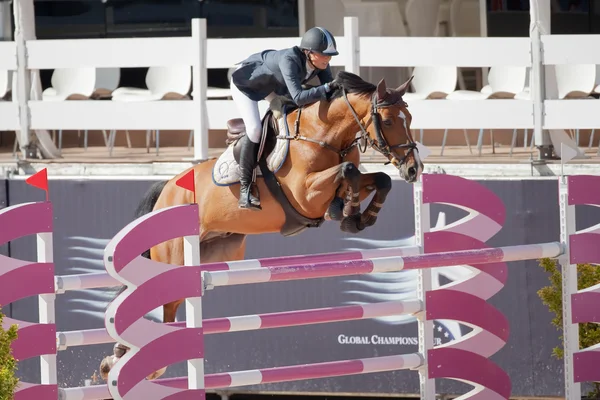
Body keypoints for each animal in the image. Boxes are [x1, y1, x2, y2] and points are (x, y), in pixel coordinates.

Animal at [99, 69, 422, 382]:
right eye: (389, 120)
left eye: (410, 118)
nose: (414, 168)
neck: (324, 135)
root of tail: (167, 186)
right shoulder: (305, 195)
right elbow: (348, 170)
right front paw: (351, 212)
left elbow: (379, 179)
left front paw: (360, 216)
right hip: (173, 259)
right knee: (159, 303)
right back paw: (131, 361)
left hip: (219, 250)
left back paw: (120, 357)